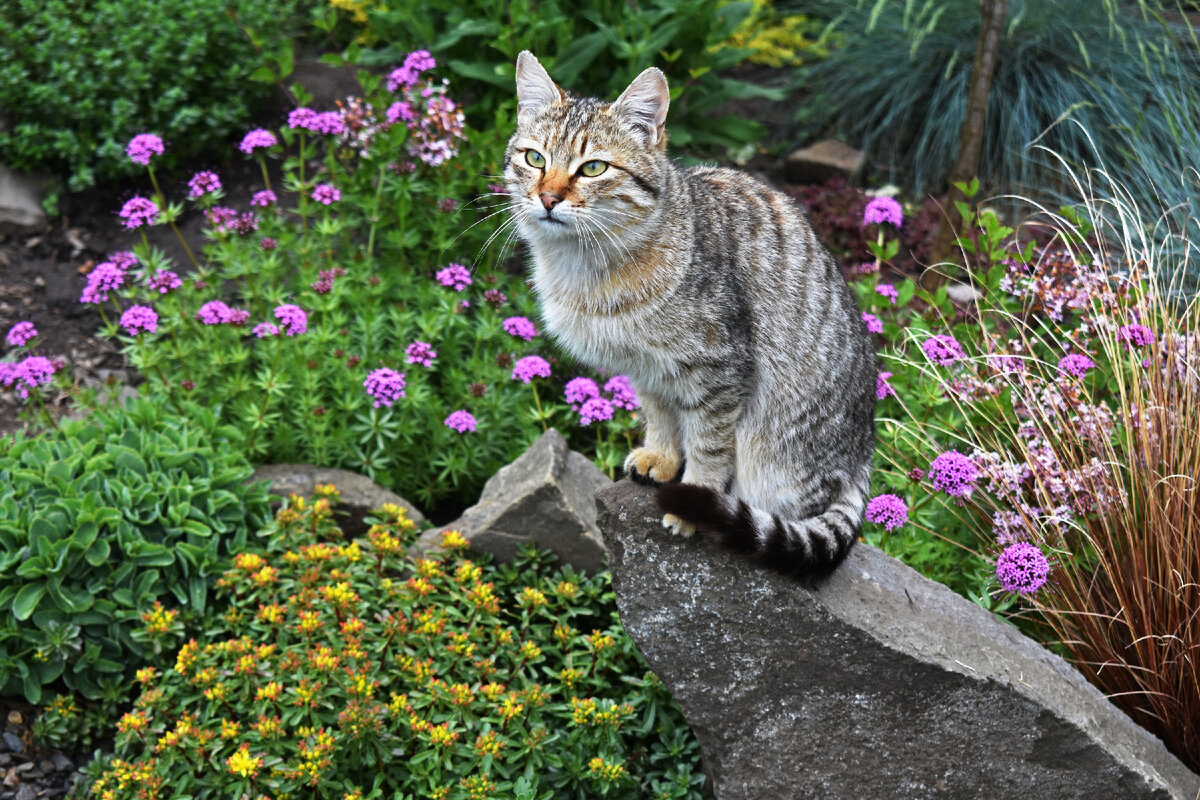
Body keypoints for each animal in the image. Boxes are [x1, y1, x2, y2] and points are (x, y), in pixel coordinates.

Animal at [501, 51, 878, 575]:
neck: (588, 265)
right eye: (534, 158)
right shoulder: (645, 366)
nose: (548, 198)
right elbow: (659, 413)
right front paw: (660, 457)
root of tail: (861, 457)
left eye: (593, 168)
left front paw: (694, 499)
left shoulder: (720, 370)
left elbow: (709, 442)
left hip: (774, 455)